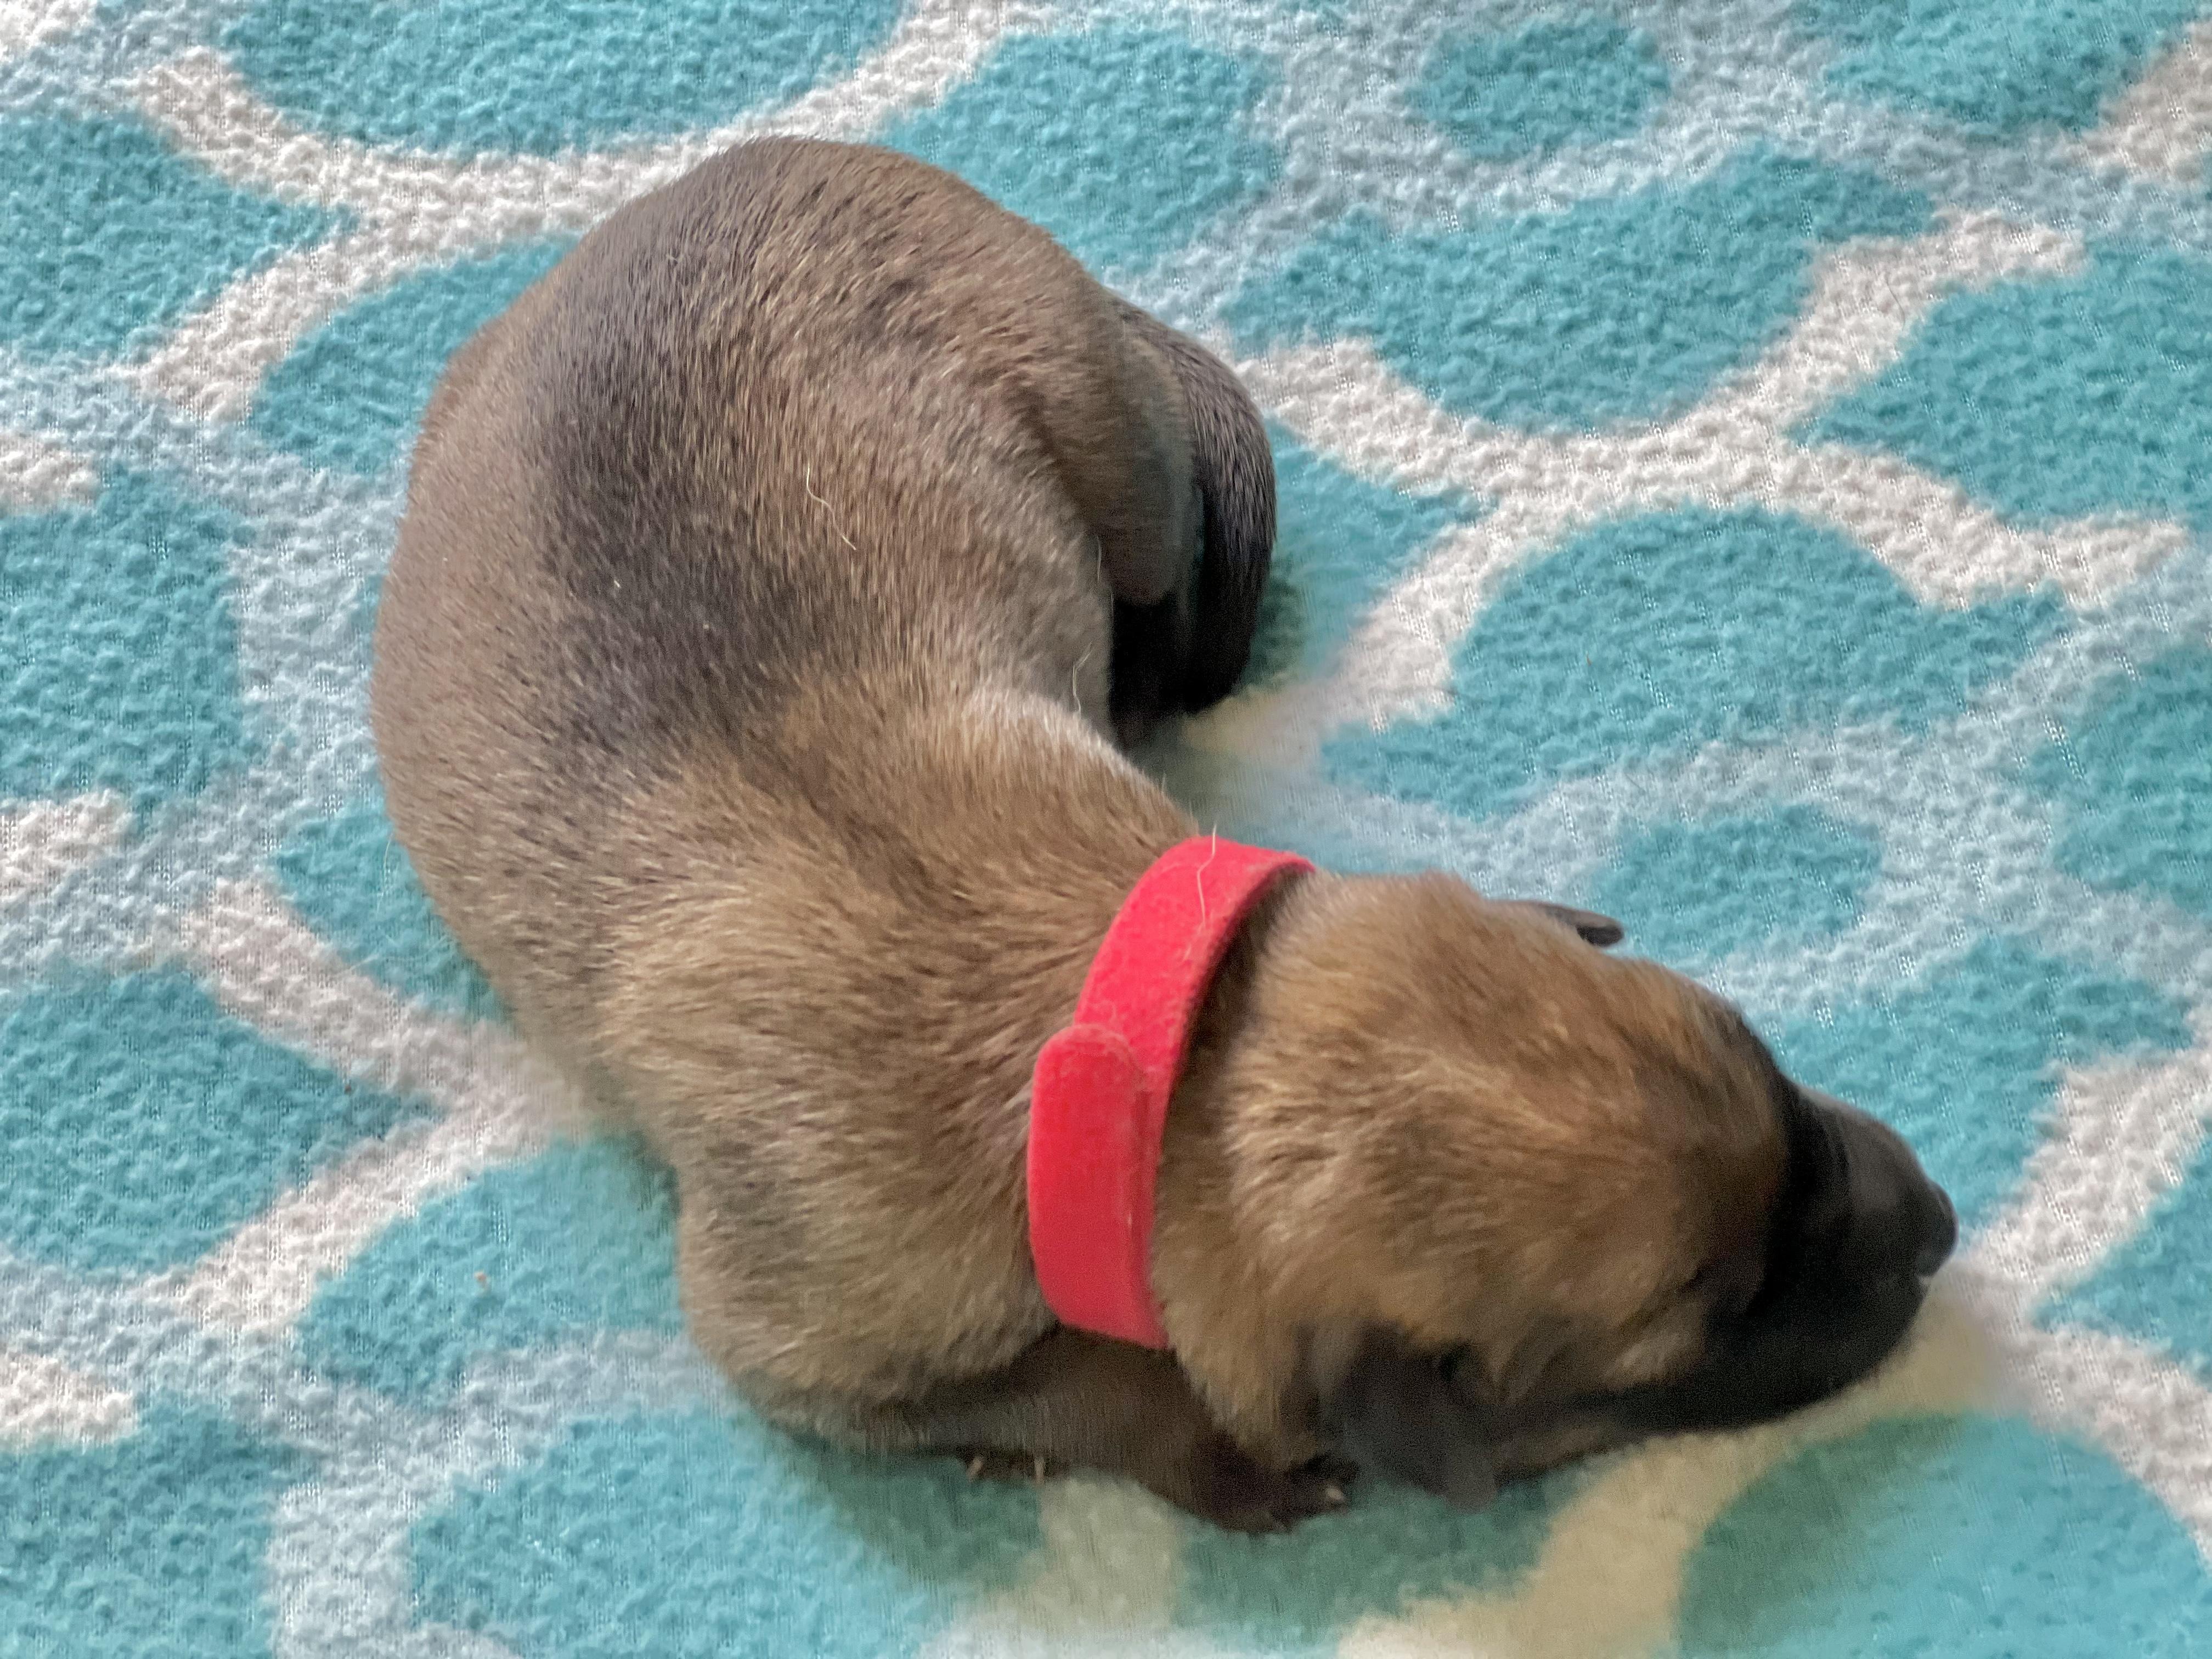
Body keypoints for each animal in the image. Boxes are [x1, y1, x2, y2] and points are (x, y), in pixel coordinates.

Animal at [371, 137, 1957, 1531]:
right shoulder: (799, 1350)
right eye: (1714, 1314)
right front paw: (1211, 1453)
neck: (1158, 1041)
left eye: (1771, 1064)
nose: (1940, 1221)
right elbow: (1064, 1383)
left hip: (1096, 426)